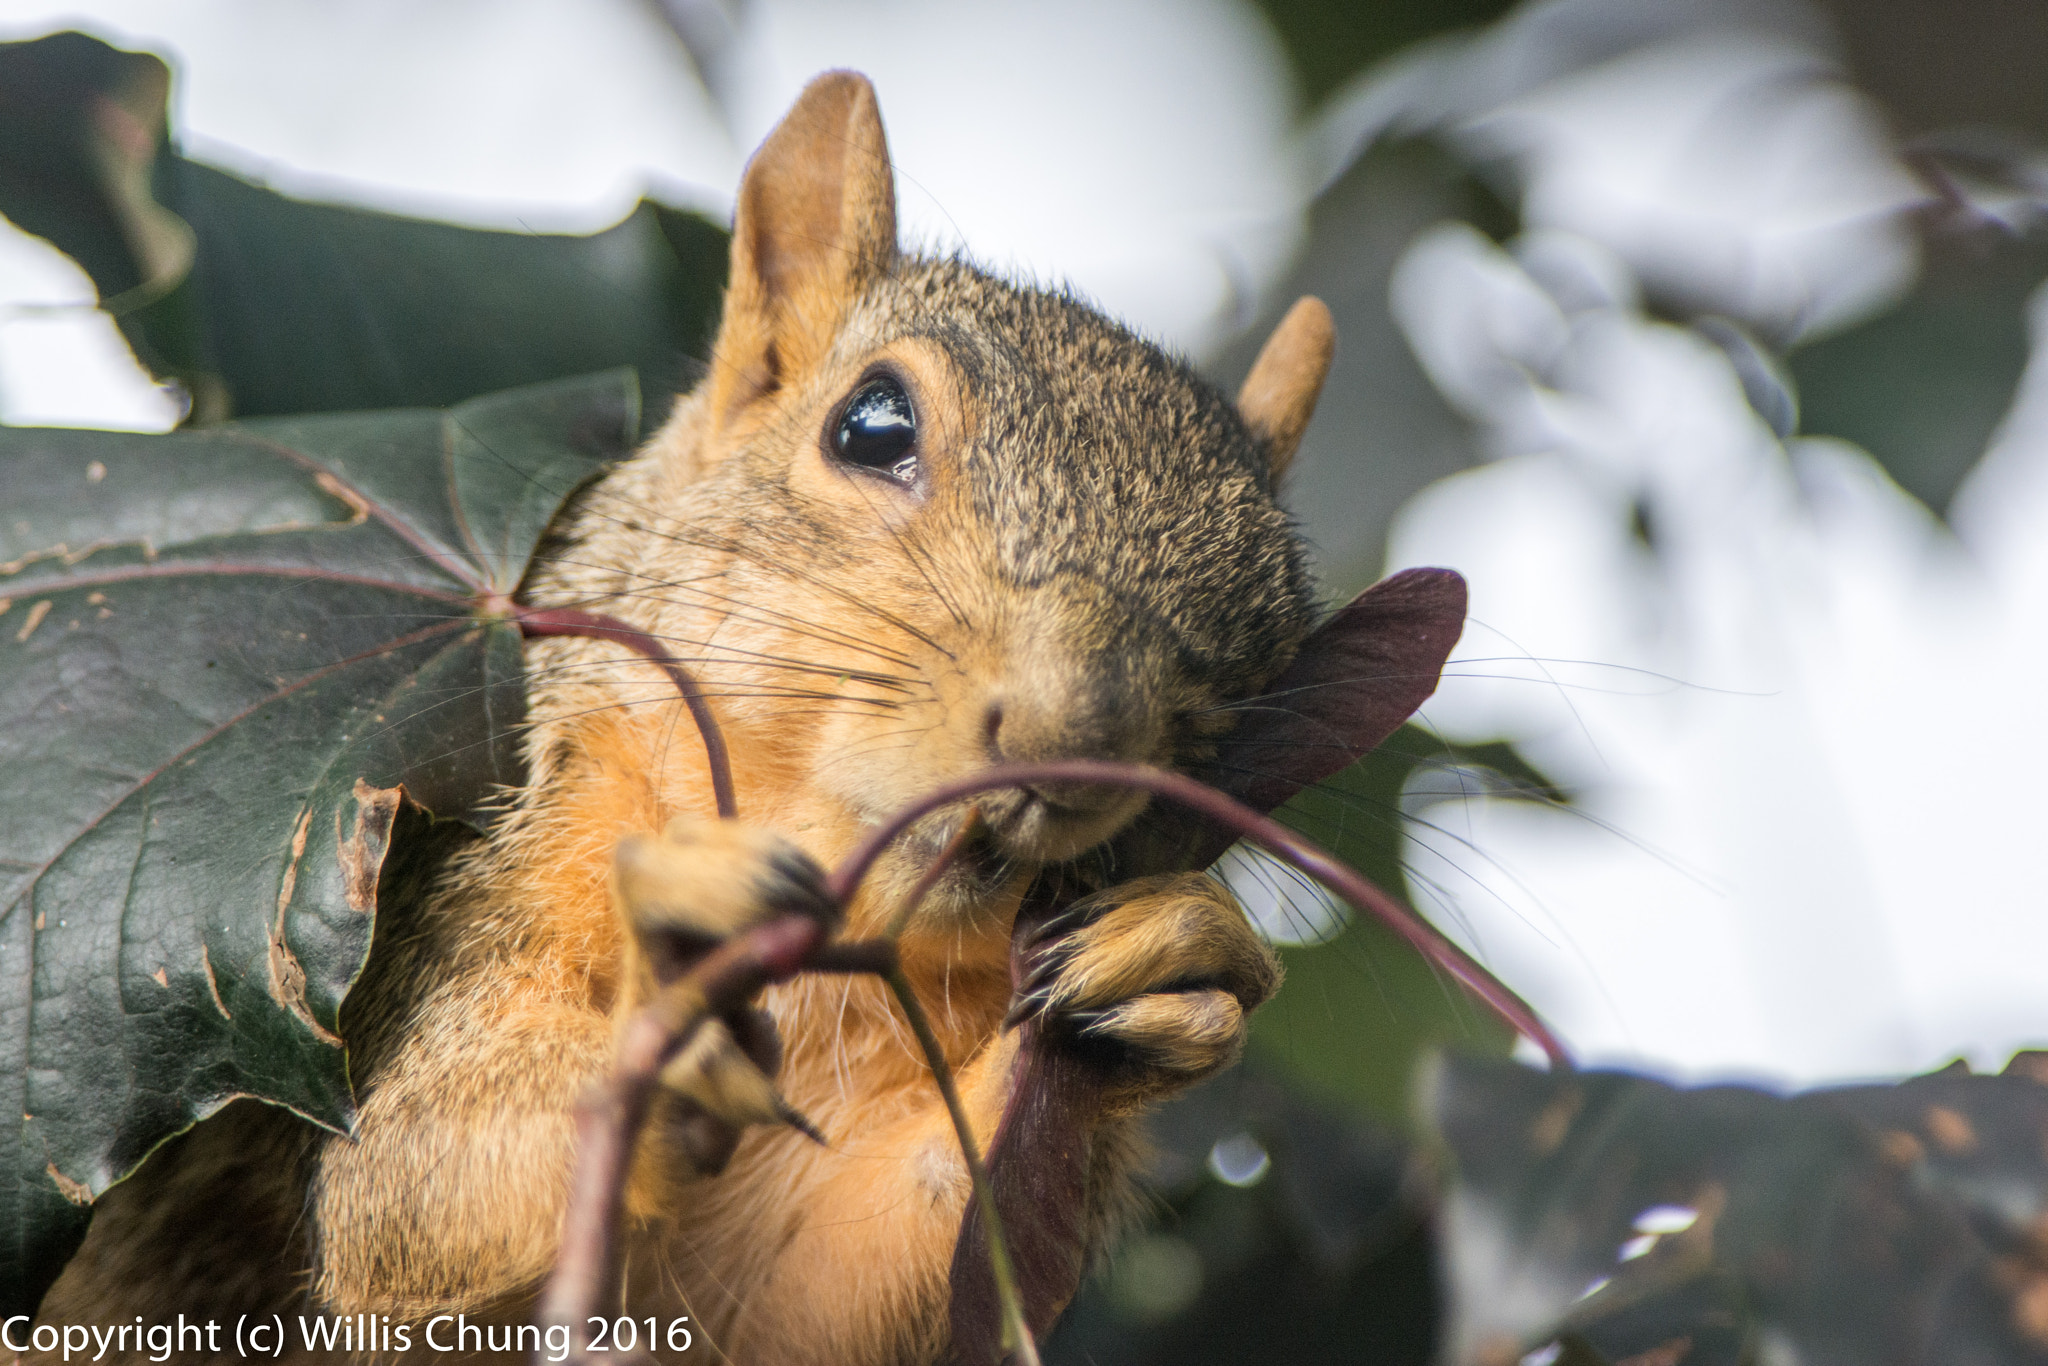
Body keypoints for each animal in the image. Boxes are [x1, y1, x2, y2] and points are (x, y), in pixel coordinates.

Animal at [39, 74, 1343, 1366]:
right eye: (872, 424)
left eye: (1275, 629)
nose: (1074, 737)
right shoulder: (466, 879)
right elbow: (403, 1189)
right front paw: (660, 990)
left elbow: (797, 1292)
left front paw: (1172, 957)